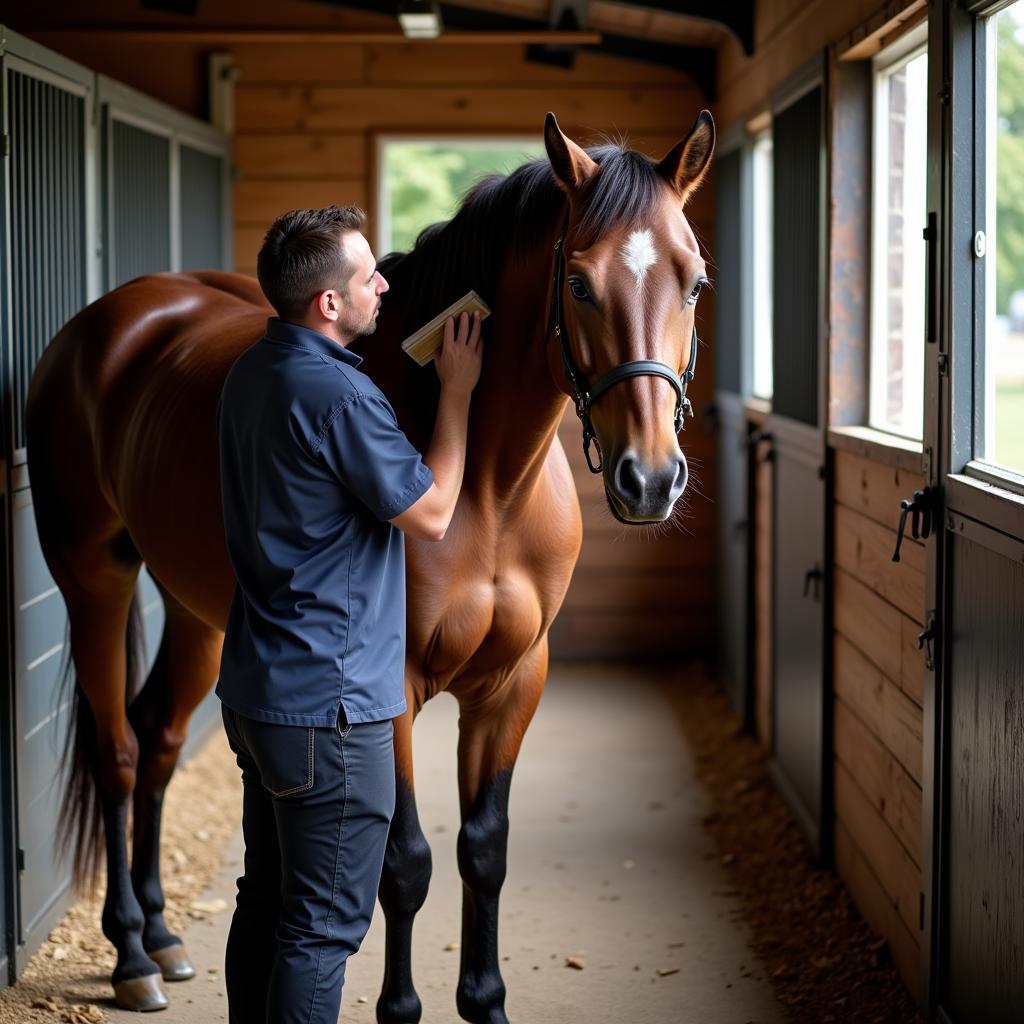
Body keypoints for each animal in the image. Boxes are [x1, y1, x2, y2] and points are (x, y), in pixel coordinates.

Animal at [24, 108, 712, 1019]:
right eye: (578, 283)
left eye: (695, 283)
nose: (651, 479)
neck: (488, 490)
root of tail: (111, 323)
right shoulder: (390, 696)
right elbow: (406, 863)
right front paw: (400, 1008)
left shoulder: (514, 683)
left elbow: (484, 850)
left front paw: (485, 1002)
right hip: (95, 578)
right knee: (119, 750)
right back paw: (133, 952)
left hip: (199, 612)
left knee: (160, 735)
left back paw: (166, 940)